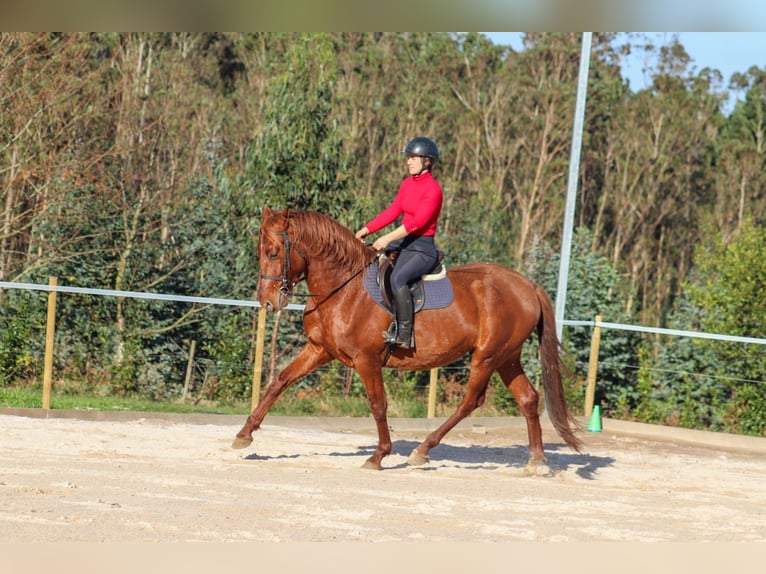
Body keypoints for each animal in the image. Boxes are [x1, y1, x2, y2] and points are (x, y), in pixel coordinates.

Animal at [232, 207, 584, 472]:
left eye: (273, 252)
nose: (267, 302)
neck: (343, 288)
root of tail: (527, 286)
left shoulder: (366, 360)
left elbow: (378, 404)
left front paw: (378, 455)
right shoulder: (320, 350)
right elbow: (280, 381)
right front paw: (244, 435)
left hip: (486, 356)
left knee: (471, 401)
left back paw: (422, 450)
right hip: (507, 358)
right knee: (528, 399)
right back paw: (536, 462)